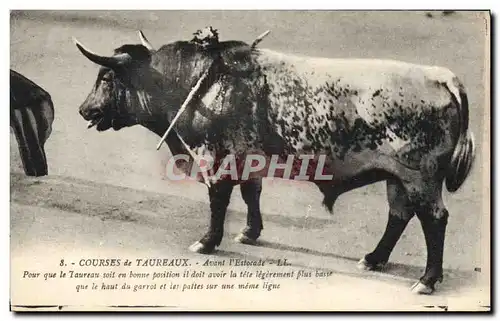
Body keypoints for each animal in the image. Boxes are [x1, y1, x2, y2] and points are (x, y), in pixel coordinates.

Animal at [75, 27, 476, 292]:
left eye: (106, 77)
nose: (83, 110)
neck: (199, 83)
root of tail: (442, 77)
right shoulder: (247, 159)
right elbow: (251, 193)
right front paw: (250, 232)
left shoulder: (214, 159)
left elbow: (218, 201)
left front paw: (207, 241)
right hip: (397, 178)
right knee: (399, 216)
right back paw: (374, 259)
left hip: (419, 177)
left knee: (434, 219)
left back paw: (426, 280)